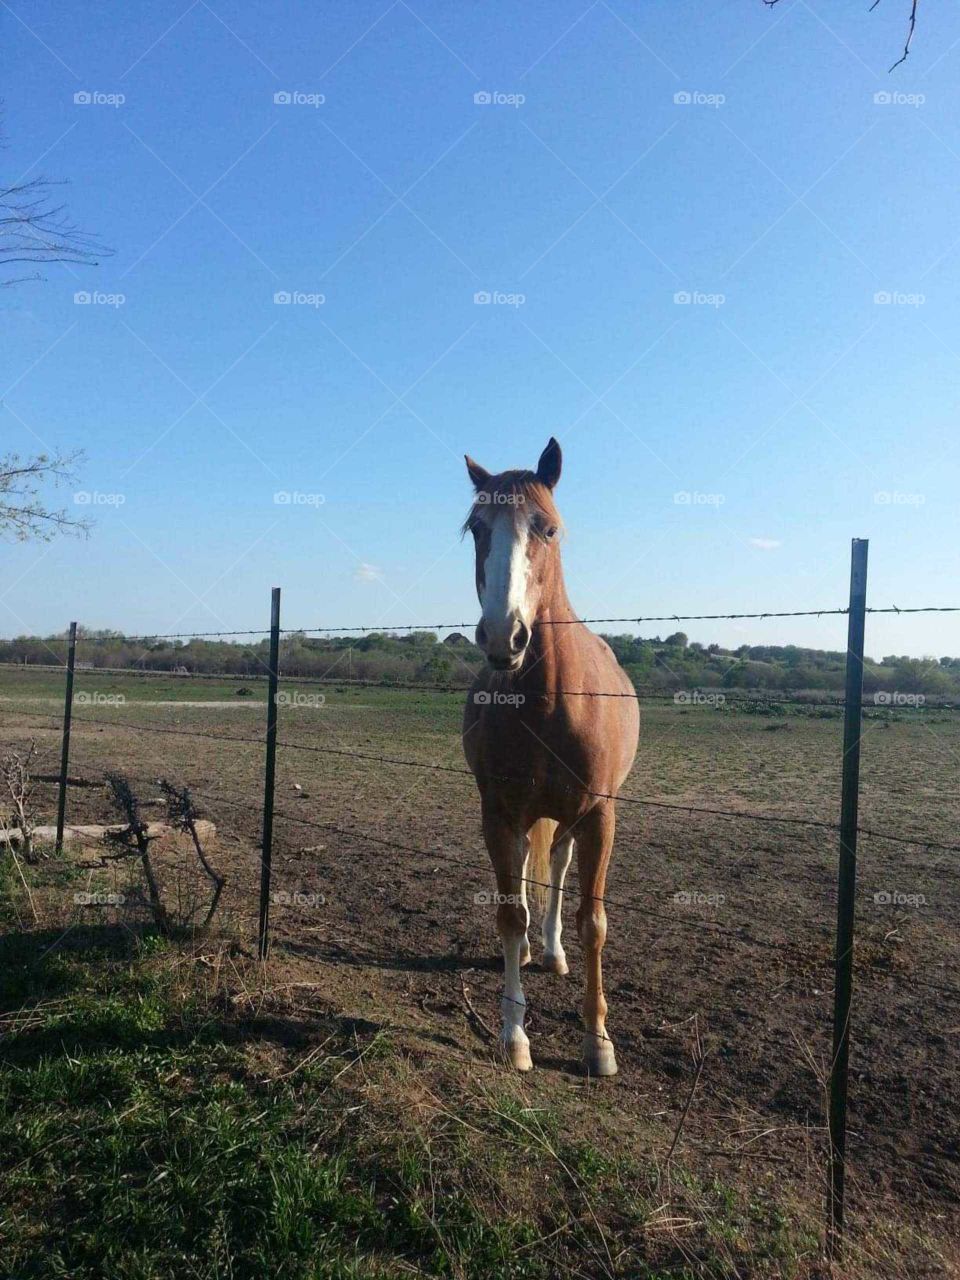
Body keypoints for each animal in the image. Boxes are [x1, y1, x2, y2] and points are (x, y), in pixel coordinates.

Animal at [462, 438, 640, 1075]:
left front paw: (598, 1041)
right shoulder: (497, 814)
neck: (548, 702)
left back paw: (555, 952)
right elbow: (510, 914)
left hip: (573, 818)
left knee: (559, 868)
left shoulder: (600, 817)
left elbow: (595, 922)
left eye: (548, 528)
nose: (502, 636)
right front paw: (514, 1035)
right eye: (476, 528)